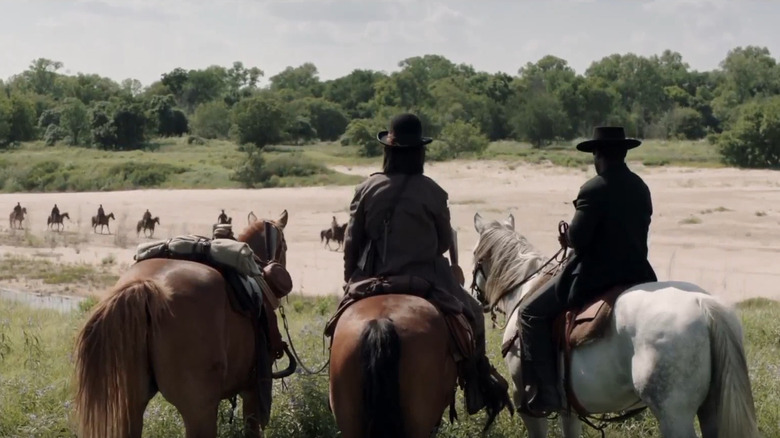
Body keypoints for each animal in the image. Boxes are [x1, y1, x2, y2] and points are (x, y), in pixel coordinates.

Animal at [470, 210, 756, 436]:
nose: (476, 297)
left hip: (674, 415)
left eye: (474, 254)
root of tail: (703, 304)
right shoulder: (568, 410)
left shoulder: (526, 402)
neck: (525, 286)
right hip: (711, 410)